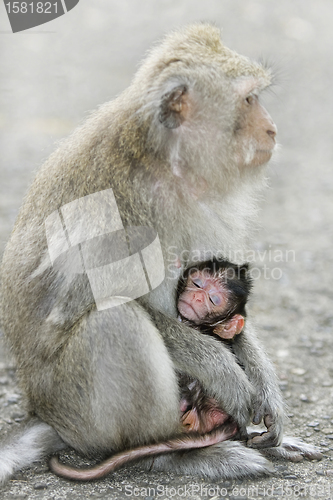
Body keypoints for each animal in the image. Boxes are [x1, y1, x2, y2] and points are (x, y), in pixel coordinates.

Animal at [0, 23, 320, 480]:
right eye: (248, 100)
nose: (272, 129)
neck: (165, 164)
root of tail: (43, 412)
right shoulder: (118, 215)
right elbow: (74, 312)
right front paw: (221, 368)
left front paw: (264, 385)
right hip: (76, 411)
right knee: (114, 321)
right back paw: (168, 451)